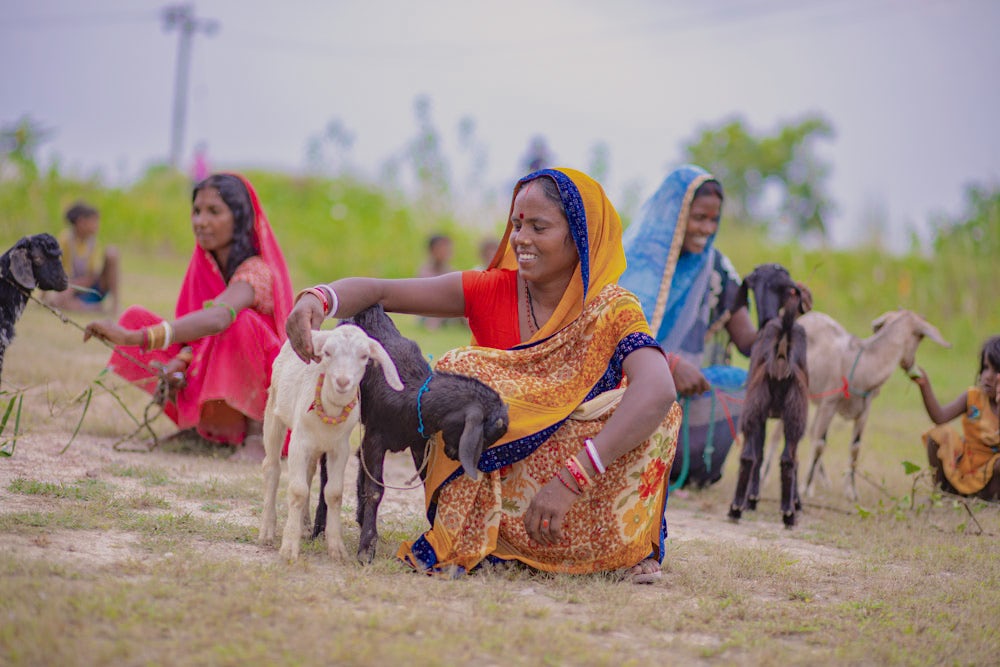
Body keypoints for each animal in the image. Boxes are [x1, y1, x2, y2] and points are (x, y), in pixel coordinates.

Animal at [312, 306, 508, 564]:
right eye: (485, 434)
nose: (453, 454)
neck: (410, 392)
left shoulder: (418, 443)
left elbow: (426, 483)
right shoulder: (375, 438)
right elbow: (376, 490)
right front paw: (366, 549)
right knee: (328, 467)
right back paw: (318, 530)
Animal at [732, 264, 808, 528]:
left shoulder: (762, 414)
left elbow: (759, 452)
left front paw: (751, 499)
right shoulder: (771, 415)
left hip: (754, 408)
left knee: (749, 456)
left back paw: (736, 507)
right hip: (794, 412)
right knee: (788, 458)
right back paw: (788, 513)